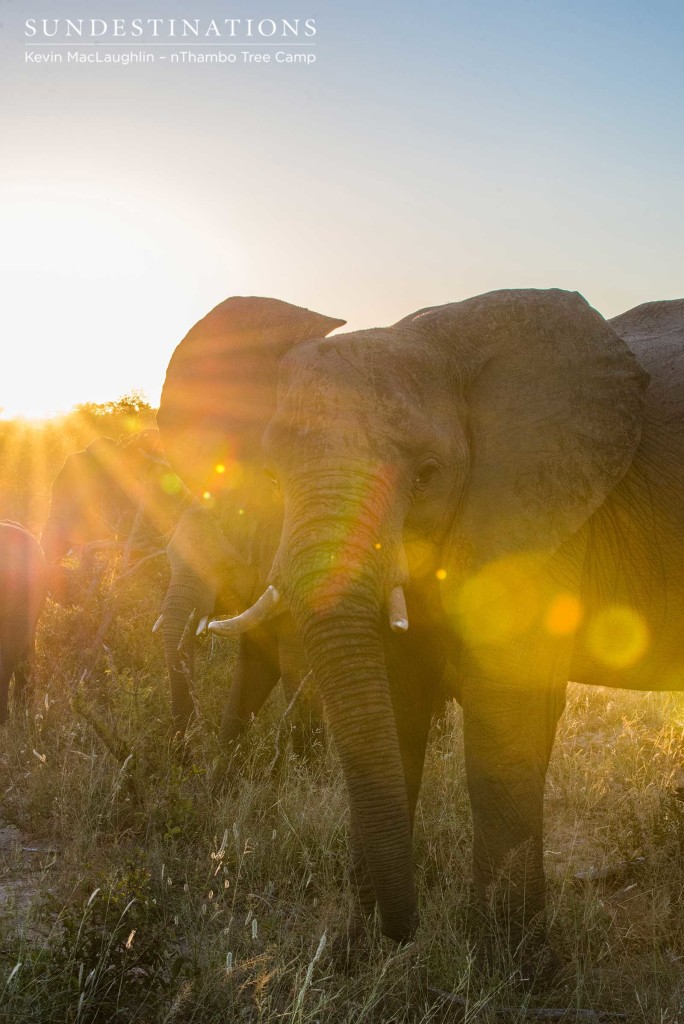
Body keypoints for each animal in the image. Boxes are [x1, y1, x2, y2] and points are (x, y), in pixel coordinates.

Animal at [156, 290, 684, 974]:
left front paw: (513, 971)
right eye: (272, 477)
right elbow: (397, 702)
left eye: (428, 475)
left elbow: (505, 714)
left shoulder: (540, 511)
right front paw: (353, 957)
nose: (405, 931)